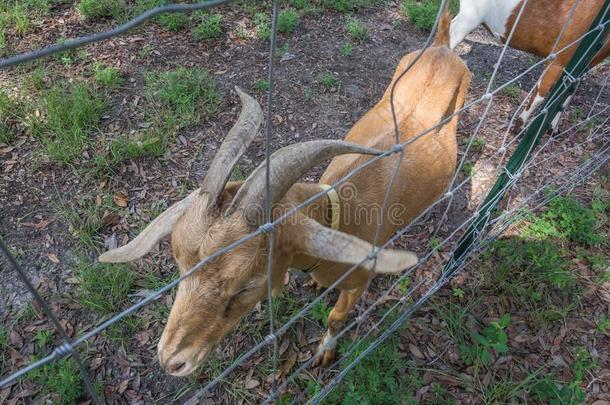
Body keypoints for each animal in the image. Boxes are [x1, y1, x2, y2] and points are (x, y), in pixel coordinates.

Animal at [98, 3, 470, 376]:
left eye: (245, 287)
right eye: (178, 265)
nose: (171, 360)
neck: (339, 211)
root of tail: (442, 47)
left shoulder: (358, 283)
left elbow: (336, 317)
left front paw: (324, 354)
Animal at [446, 0, 608, 129]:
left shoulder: (582, 66)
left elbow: (567, 95)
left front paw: (552, 127)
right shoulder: (558, 58)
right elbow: (540, 95)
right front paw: (519, 125)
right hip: (470, 16)